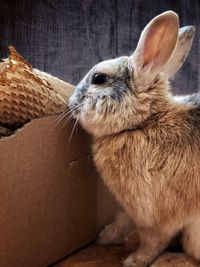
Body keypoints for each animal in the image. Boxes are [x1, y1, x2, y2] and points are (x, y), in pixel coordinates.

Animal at [69, 11, 200, 267]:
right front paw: (104, 237)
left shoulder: (155, 216)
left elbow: (152, 242)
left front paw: (133, 261)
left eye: (99, 78)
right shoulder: (128, 207)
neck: (142, 123)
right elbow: (122, 221)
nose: (70, 102)